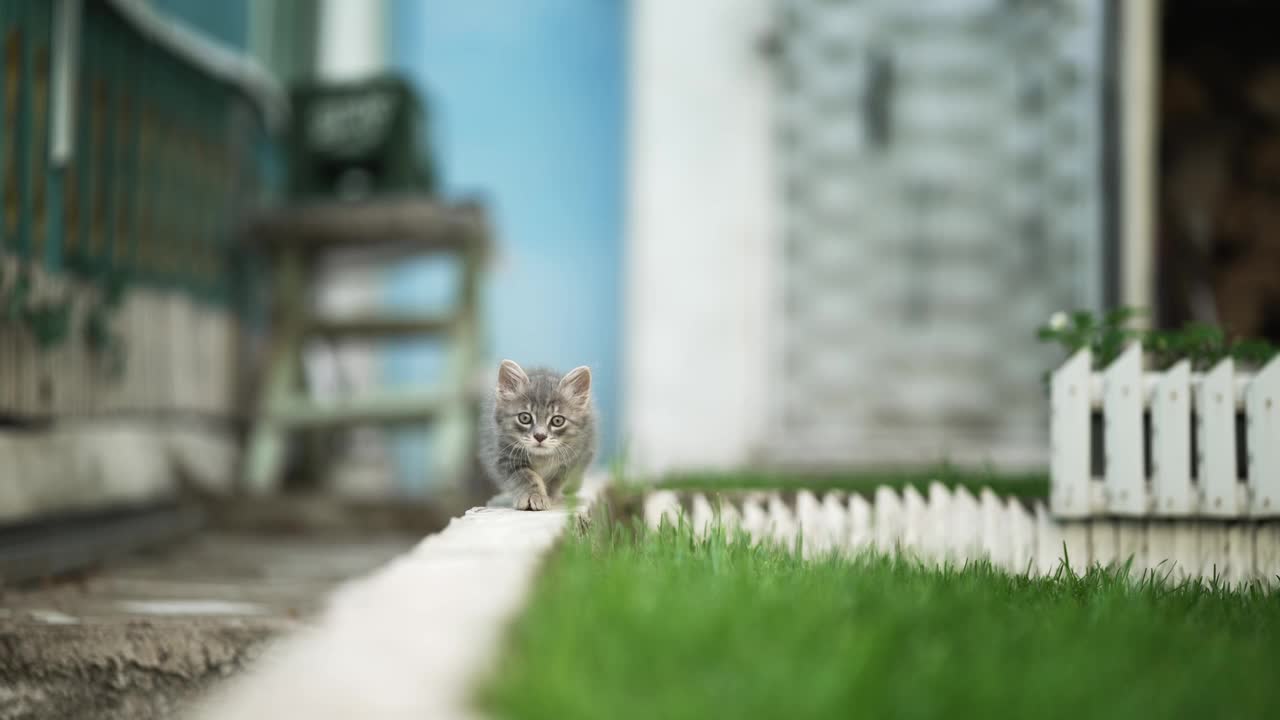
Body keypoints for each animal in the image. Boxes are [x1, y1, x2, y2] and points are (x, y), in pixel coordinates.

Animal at [481, 356, 593, 504]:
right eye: (525, 418)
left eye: (557, 421)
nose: (540, 436)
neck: (541, 458)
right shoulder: (505, 456)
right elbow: (526, 477)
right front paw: (533, 495)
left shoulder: (574, 457)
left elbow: (556, 480)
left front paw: (550, 497)